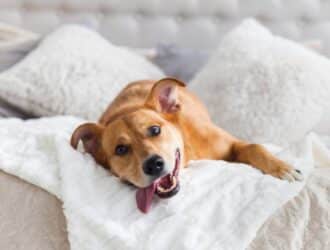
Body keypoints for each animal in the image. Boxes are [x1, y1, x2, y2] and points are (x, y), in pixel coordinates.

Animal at [71, 78, 302, 213]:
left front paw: (282, 168)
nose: (153, 164)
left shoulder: (233, 145)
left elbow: (255, 147)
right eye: (121, 150)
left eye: (155, 130)